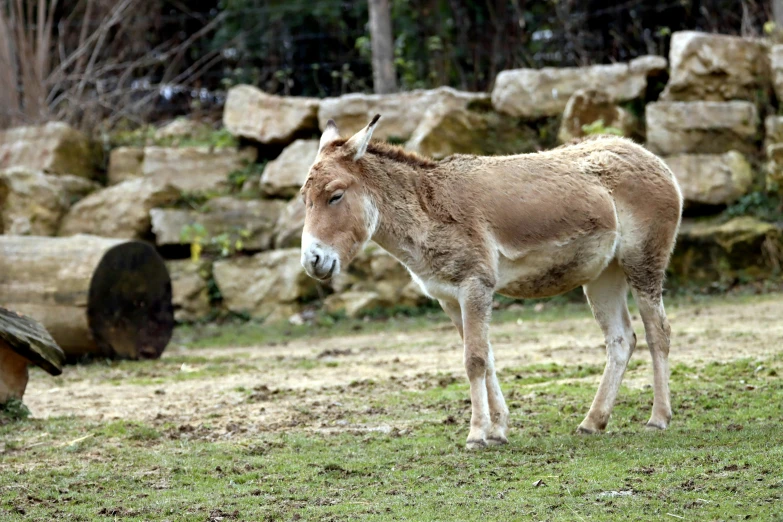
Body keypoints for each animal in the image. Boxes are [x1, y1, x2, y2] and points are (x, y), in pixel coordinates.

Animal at [298, 115, 680, 446]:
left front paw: (476, 434)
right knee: (621, 340)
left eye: (335, 195)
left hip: (643, 262)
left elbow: (474, 360)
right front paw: (498, 430)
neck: (427, 210)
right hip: (603, 275)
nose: (311, 261)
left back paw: (658, 418)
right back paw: (592, 422)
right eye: (304, 199)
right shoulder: (449, 298)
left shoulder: (474, 286)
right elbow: (488, 358)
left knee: (657, 333)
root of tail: (651, 157)